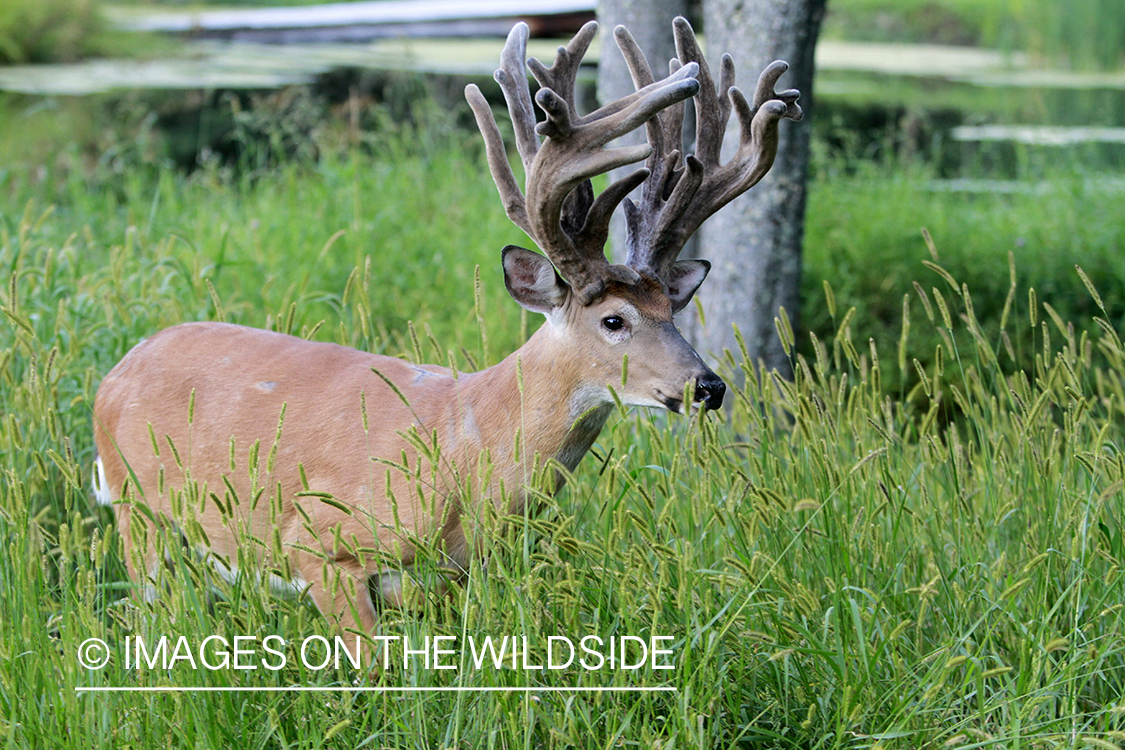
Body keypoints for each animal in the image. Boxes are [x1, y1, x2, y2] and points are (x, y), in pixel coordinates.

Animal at [92, 16, 805, 652]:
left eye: (671, 312)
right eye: (614, 320)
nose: (707, 386)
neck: (464, 449)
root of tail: (113, 375)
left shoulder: (452, 582)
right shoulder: (322, 547)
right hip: (138, 512)